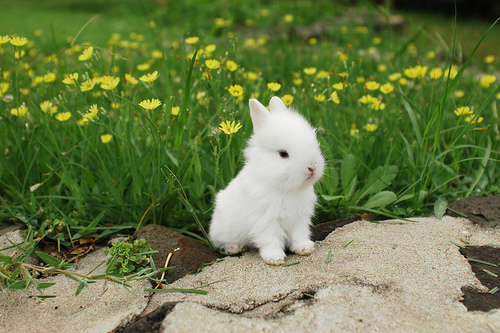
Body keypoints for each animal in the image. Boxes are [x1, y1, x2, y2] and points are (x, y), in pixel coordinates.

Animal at [208, 96, 322, 264]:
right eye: (283, 154)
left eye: (314, 143)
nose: (312, 167)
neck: (284, 188)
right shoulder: (265, 221)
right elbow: (270, 239)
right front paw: (274, 258)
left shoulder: (299, 219)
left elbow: (299, 235)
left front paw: (304, 249)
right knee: (223, 243)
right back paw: (235, 248)